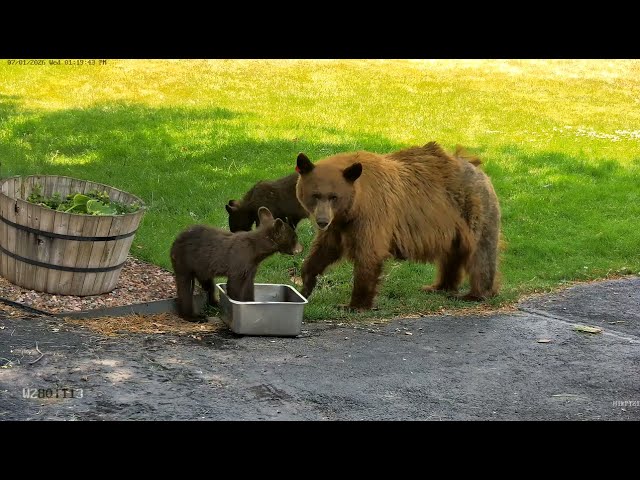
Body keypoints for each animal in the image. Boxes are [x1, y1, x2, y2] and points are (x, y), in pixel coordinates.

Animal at [170, 206, 303, 320]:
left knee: (208, 285)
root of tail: (174, 242)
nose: (301, 249)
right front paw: (238, 302)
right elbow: (234, 285)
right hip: (184, 262)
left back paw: (214, 303)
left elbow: (249, 286)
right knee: (185, 288)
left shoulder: (251, 267)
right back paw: (193, 316)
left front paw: (250, 301)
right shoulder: (239, 263)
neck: (255, 251)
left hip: (202, 268)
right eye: (294, 238)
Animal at [295, 141, 501, 311]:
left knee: (480, 253)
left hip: (474, 209)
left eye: (334, 196)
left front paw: (354, 305)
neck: (355, 205)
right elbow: (324, 249)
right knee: (452, 255)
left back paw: (476, 294)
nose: (322, 221)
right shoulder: (340, 226)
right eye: (315, 195)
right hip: (453, 226)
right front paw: (306, 283)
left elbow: (369, 255)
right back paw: (439, 286)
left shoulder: (372, 216)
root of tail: (477, 167)